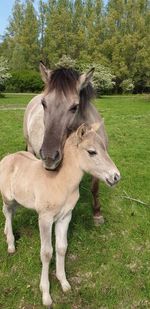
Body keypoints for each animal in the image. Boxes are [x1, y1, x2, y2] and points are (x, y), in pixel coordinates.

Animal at [0, 122, 119, 306]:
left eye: (105, 148)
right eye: (92, 152)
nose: (115, 177)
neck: (61, 182)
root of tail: (7, 158)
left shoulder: (65, 217)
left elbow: (62, 248)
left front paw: (64, 283)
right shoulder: (45, 219)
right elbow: (47, 253)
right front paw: (46, 295)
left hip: (18, 200)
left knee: (10, 212)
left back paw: (7, 234)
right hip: (7, 197)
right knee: (7, 211)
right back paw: (11, 244)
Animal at [23, 62, 108, 223]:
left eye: (75, 107)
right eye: (44, 103)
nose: (49, 156)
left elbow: (95, 188)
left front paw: (97, 214)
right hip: (31, 148)